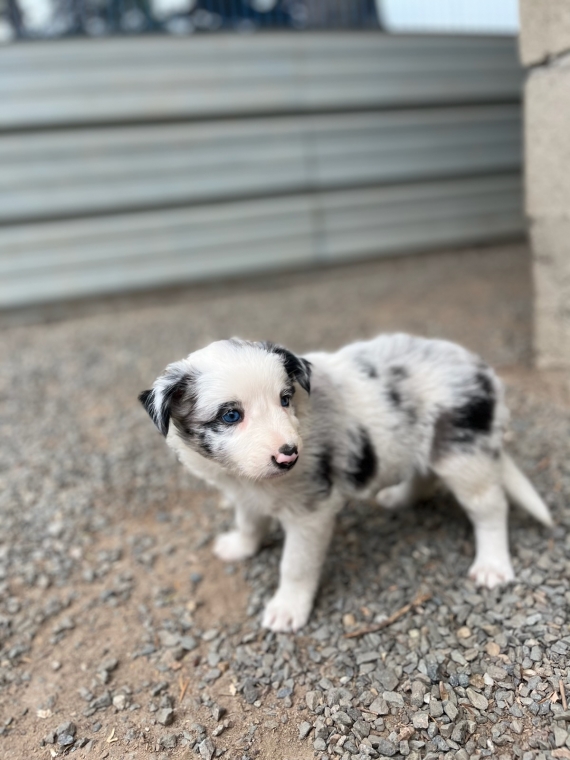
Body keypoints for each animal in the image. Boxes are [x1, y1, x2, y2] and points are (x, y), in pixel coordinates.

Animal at [138, 336, 552, 632]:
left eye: (284, 399)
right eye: (230, 415)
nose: (289, 456)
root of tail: (483, 371)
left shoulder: (310, 513)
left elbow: (296, 565)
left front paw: (287, 609)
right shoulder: (245, 492)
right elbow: (249, 521)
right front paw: (240, 547)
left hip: (466, 458)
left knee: (490, 507)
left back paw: (493, 566)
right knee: (425, 475)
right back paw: (400, 498)